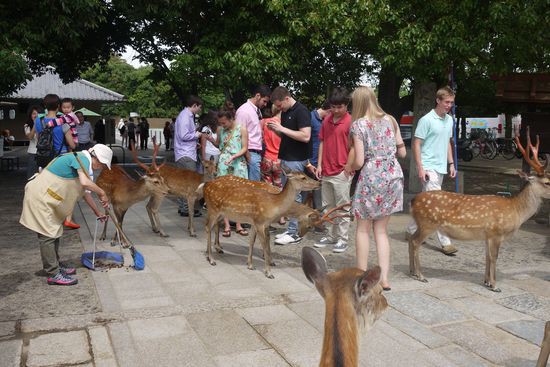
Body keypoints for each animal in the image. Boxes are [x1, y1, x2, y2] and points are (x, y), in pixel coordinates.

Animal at [410, 129, 550, 294]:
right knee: (415, 242)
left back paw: (412, 272)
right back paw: (420, 275)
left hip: (422, 223)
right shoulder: (496, 232)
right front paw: (495, 286)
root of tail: (412, 201)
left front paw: (486, 282)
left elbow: (487, 257)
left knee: (411, 239)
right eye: (547, 182)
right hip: (427, 223)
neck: (515, 210)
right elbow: (494, 257)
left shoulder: (487, 235)